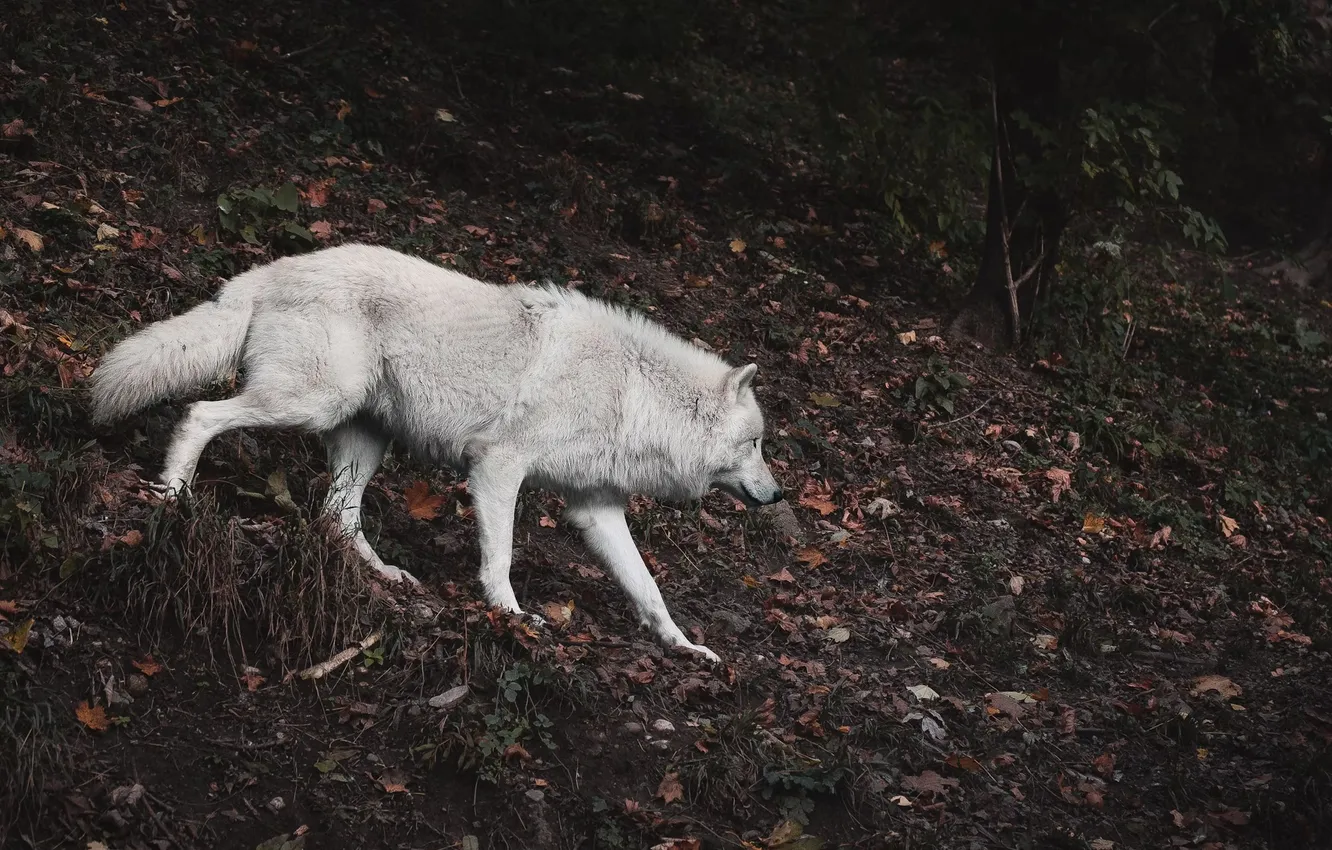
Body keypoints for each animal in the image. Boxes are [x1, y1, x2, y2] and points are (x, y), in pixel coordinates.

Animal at [90, 244, 784, 661]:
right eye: (753, 444)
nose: (777, 493)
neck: (631, 393)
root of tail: (268, 270)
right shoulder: (498, 467)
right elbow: (500, 556)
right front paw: (509, 614)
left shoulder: (596, 509)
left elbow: (649, 588)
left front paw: (686, 647)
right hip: (311, 403)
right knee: (201, 414)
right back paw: (174, 491)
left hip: (364, 440)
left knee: (337, 518)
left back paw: (386, 574)